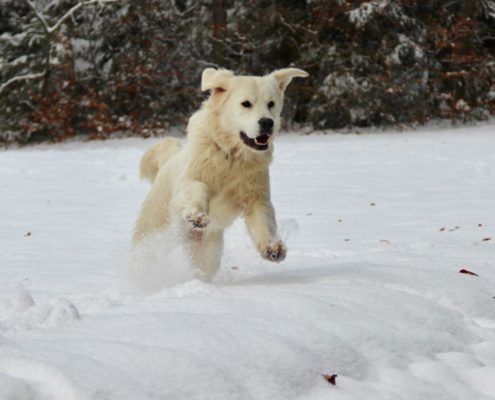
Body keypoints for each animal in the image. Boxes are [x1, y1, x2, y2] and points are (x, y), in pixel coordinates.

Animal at [134, 67, 308, 280]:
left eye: (271, 104)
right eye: (246, 103)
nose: (267, 122)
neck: (232, 157)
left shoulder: (257, 198)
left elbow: (263, 221)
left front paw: (273, 247)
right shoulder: (188, 181)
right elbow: (200, 186)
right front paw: (197, 216)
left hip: (208, 252)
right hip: (155, 231)